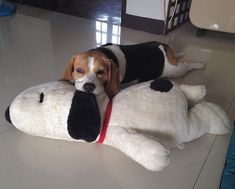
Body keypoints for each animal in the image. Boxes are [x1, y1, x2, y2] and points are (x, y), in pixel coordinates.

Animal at [61, 41, 206, 97]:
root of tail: (161, 46)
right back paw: (179, 54)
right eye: (79, 70)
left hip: (174, 71)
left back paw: (199, 64)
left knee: (186, 66)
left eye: (101, 72)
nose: (89, 87)